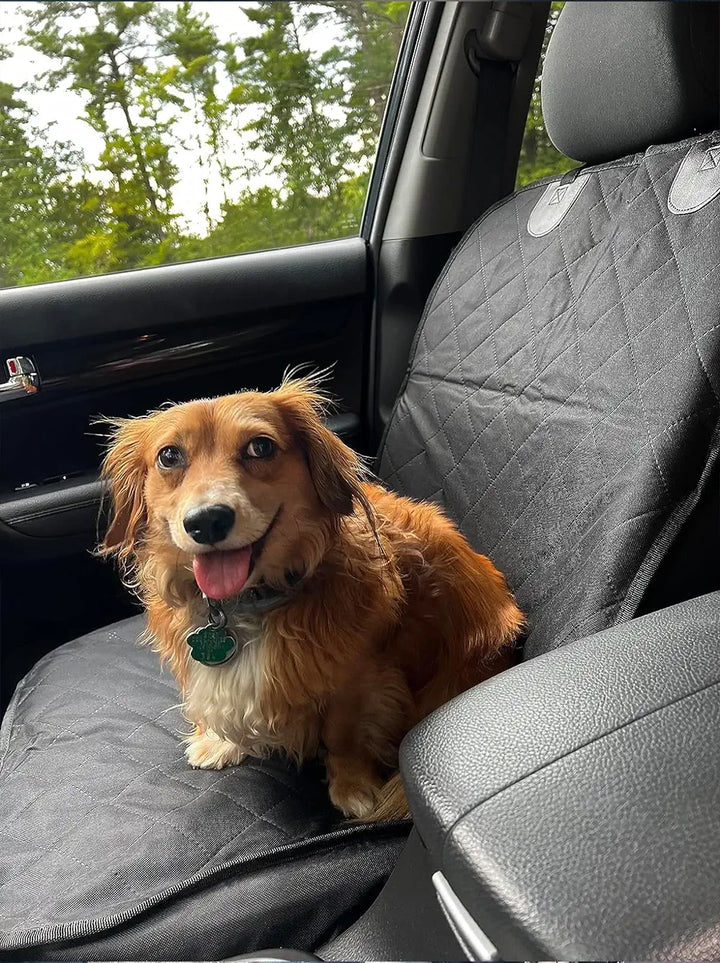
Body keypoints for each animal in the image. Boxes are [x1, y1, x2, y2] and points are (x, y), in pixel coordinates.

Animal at [98, 372, 524, 816]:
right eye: (169, 456)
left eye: (260, 446)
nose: (207, 521)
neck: (246, 603)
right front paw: (219, 742)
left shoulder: (359, 678)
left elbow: (343, 736)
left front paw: (353, 787)